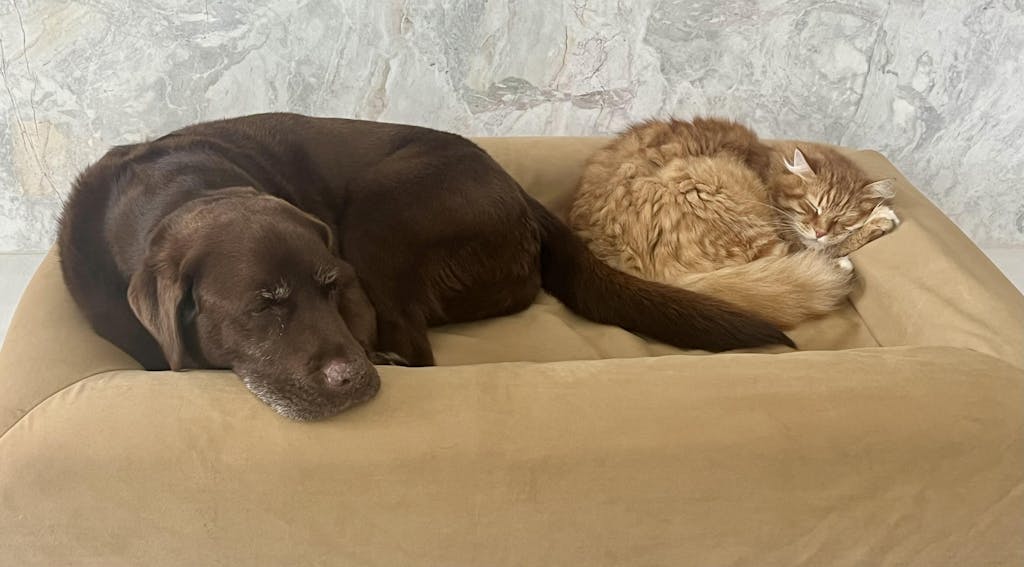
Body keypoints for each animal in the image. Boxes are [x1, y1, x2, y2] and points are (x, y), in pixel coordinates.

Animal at [58, 113, 793, 420]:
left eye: (332, 287)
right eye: (264, 303)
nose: (353, 376)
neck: (175, 190)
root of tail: (517, 189)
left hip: (382, 210)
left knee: (416, 346)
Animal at [568, 117, 900, 328]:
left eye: (842, 220)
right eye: (811, 207)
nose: (819, 232)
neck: (768, 166)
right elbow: (822, 247)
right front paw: (880, 218)